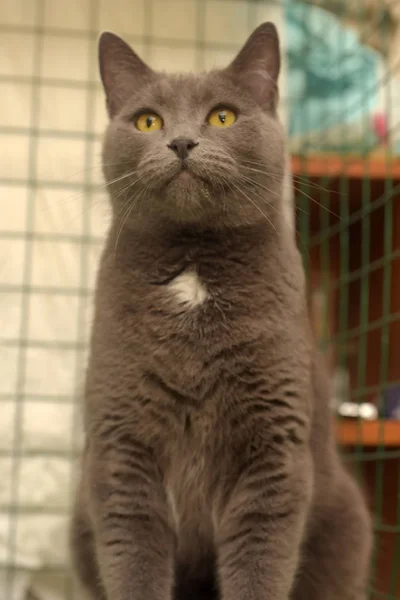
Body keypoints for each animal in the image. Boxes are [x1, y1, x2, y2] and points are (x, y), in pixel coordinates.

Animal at [71, 22, 372, 600]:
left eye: (223, 116)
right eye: (148, 121)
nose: (182, 142)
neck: (194, 266)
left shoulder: (274, 453)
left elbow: (259, 564)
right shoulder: (121, 450)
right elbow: (133, 560)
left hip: (347, 523)